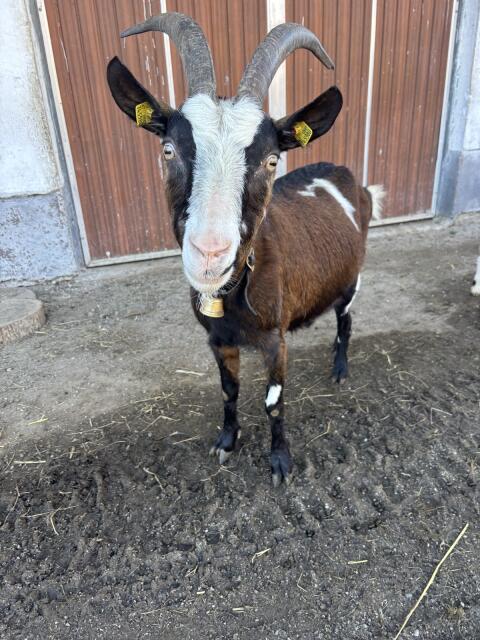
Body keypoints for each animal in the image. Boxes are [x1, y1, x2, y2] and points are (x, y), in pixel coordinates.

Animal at [107, 12, 384, 486]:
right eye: (168, 149)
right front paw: (226, 441)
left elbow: (273, 401)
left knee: (346, 321)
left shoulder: (274, 340)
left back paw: (340, 370)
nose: (209, 254)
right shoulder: (218, 339)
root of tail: (350, 178)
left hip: (352, 279)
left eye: (272, 159)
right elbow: (228, 389)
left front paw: (280, 462)